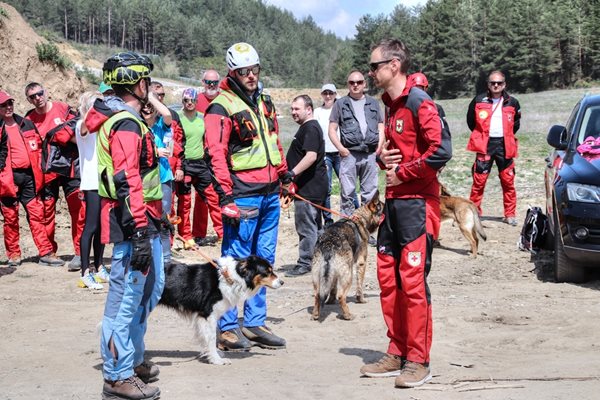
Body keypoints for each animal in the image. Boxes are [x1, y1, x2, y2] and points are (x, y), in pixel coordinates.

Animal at [312, 191, 382, 322]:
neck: (360, 218)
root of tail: (329, 244)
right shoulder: (361, 263)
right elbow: (359, 286)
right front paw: (361, 299)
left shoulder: (333, 273)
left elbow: (333, 288)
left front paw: (330, 300)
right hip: (348, 274)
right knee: (341, 296)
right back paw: (347, 315)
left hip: (317, 275)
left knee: (317, 294)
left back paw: (315, 314)